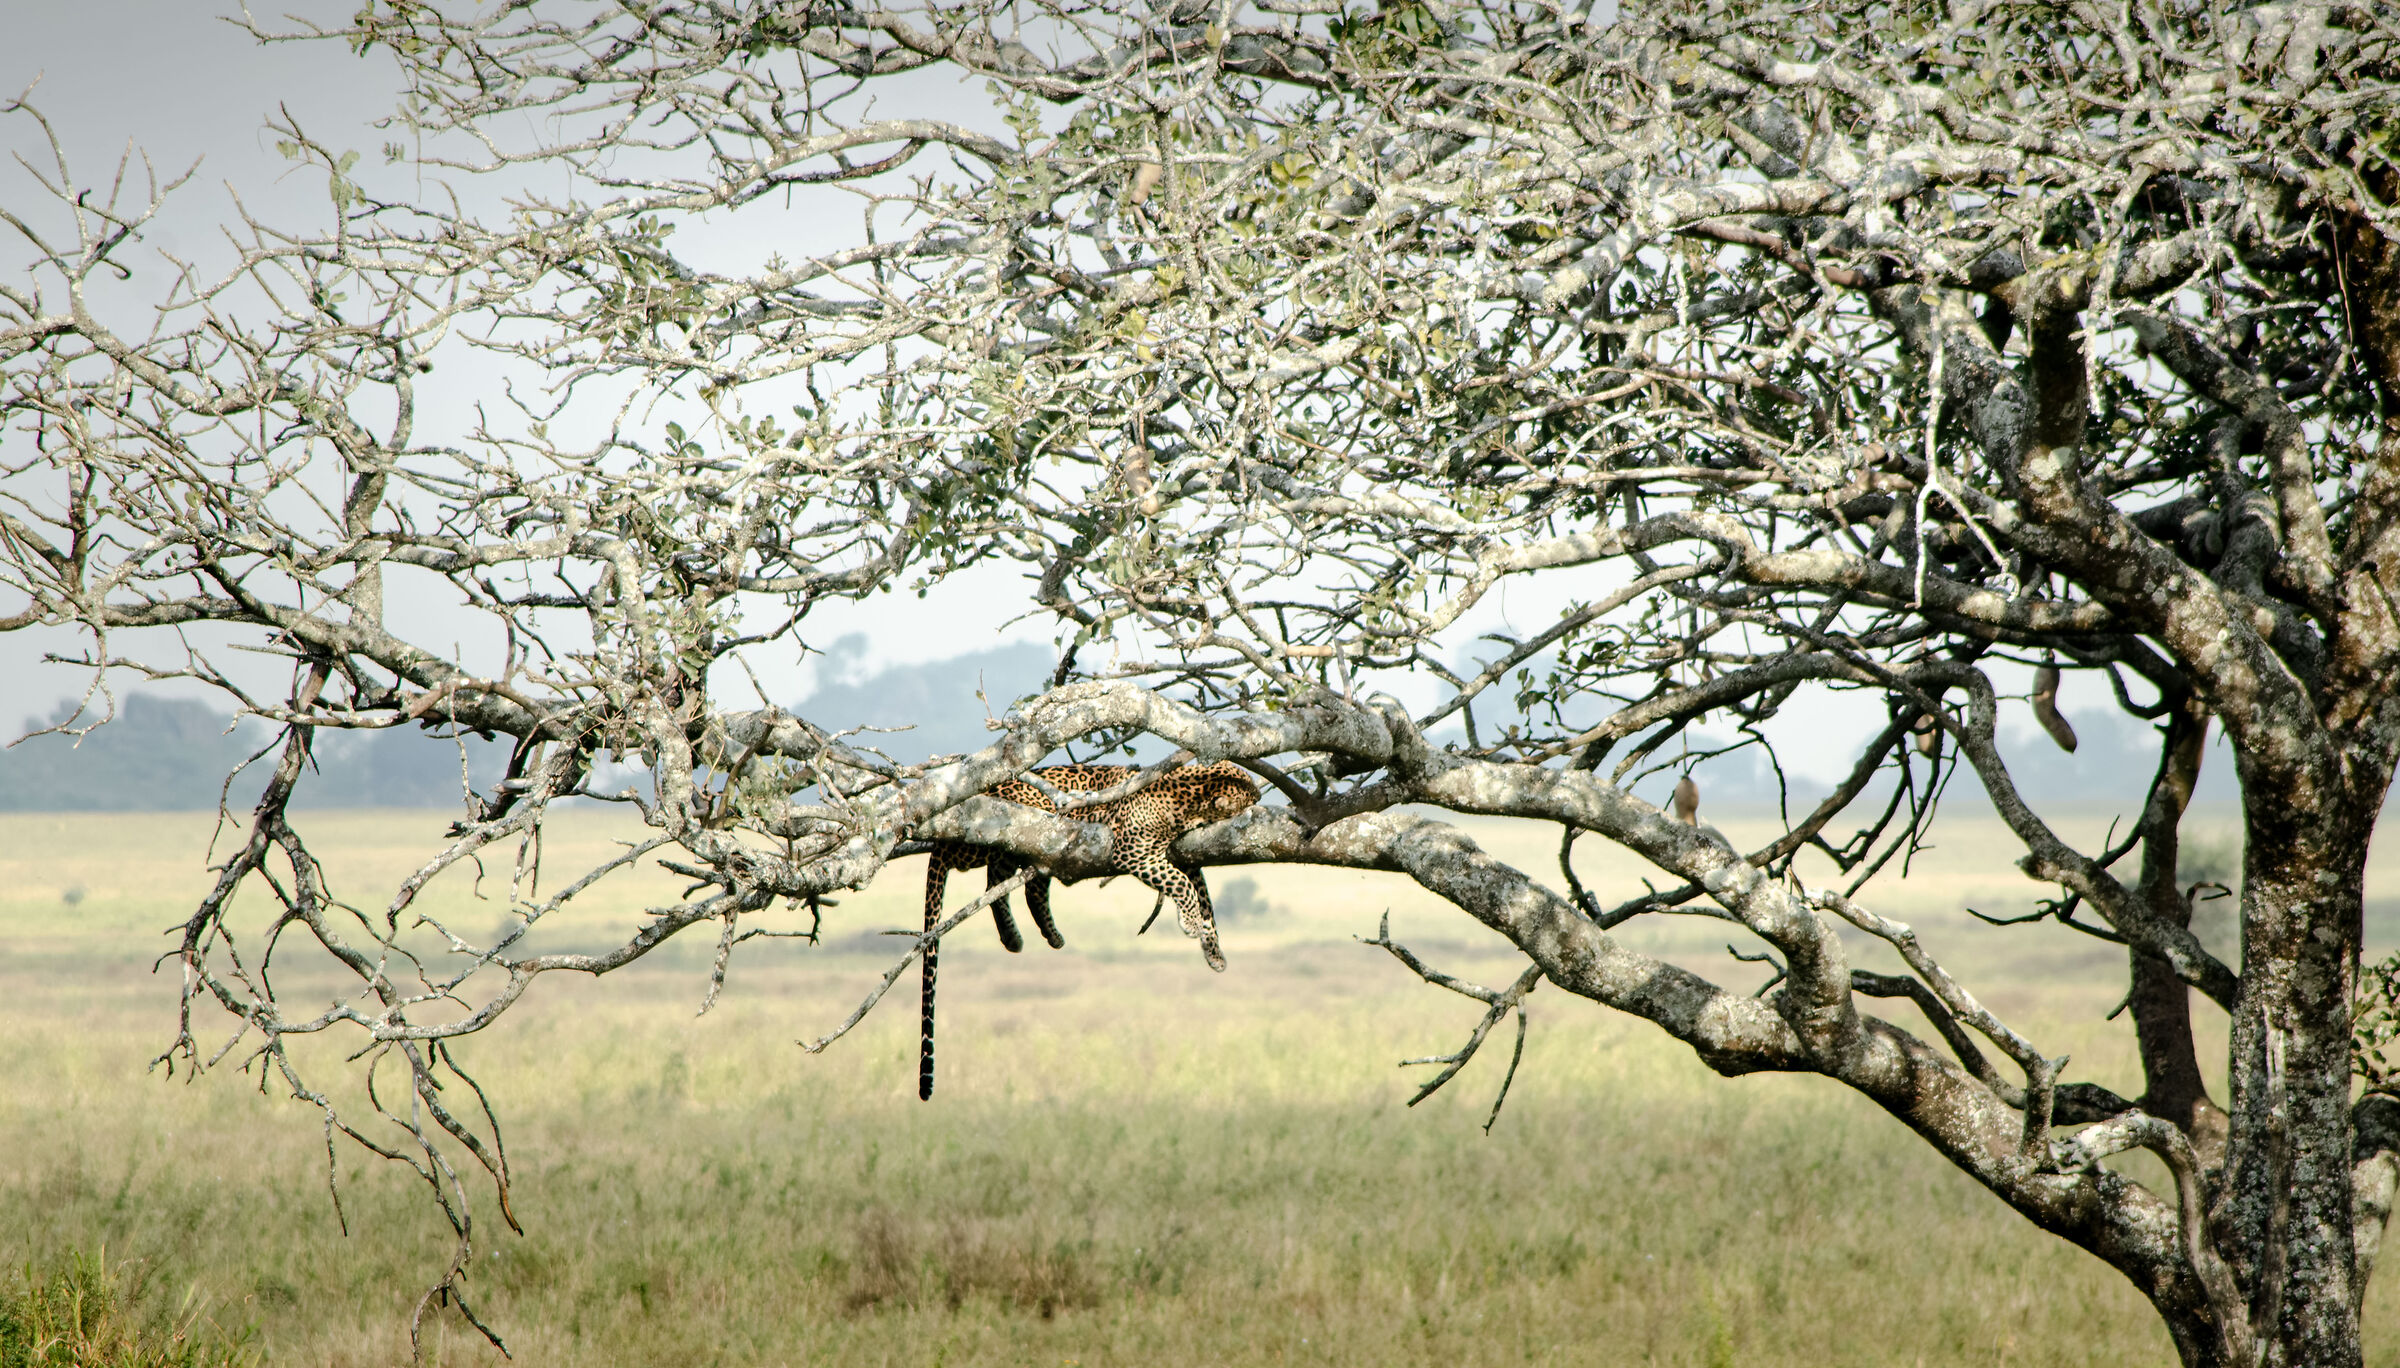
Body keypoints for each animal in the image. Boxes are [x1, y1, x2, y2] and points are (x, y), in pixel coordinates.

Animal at [918, 761, 1261, 1100]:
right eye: (1247, 792)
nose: (1259, 796)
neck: (1186, 796)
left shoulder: (1186, 857)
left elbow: (1203, 897)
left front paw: (1213, 951)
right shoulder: (1132, 850)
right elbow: (1182, 885)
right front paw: (1190, 923)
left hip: (1036, 849)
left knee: (1011, 883)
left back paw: (1026, 937)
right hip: (1019, 827)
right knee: (983, 867)